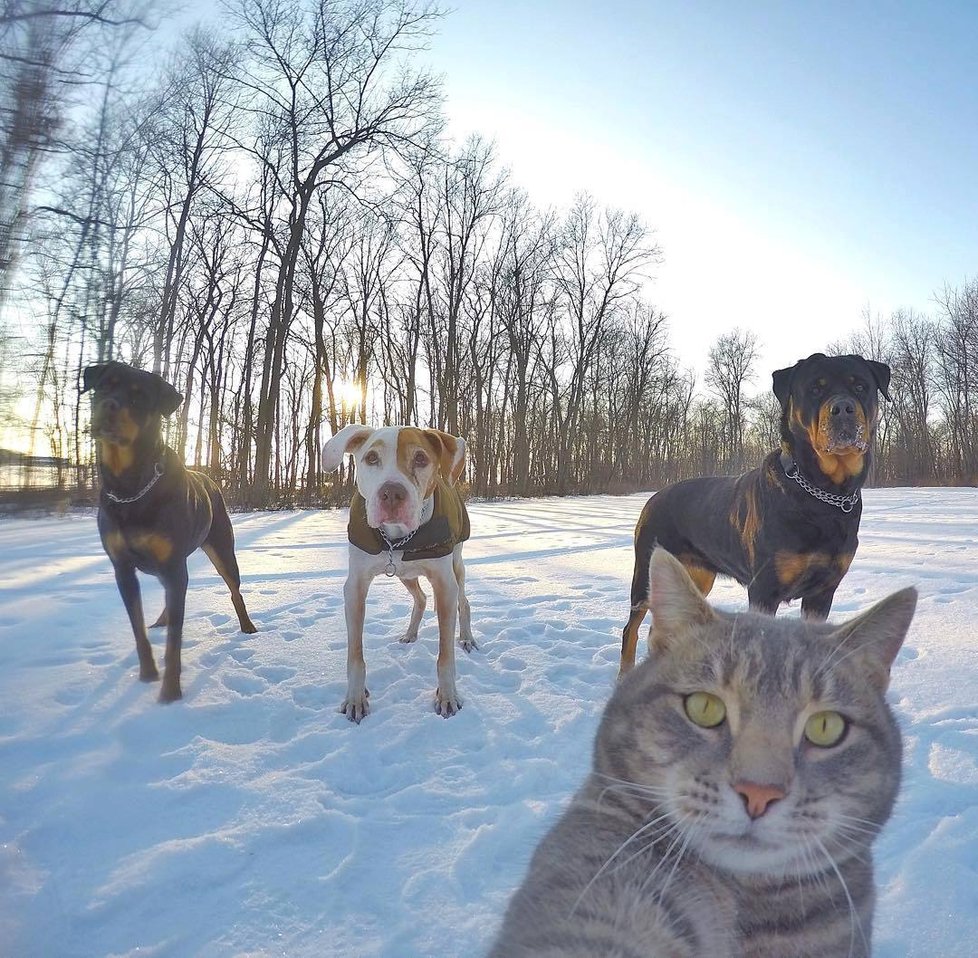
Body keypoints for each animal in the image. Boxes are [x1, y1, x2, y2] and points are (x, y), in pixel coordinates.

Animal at [322, 424, 474, 724]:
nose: (391, 493)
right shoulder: (355, 587)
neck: (397, 540)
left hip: (456, 565)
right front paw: (355, 699)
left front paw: (448, 696)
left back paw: (466, 638)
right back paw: (410, 634)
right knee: (421, 598)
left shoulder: (445, 585)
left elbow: (445, 655)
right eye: (371, 458)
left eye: (420, 458)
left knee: (464, 602)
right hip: (406, 573)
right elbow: (355, 653)